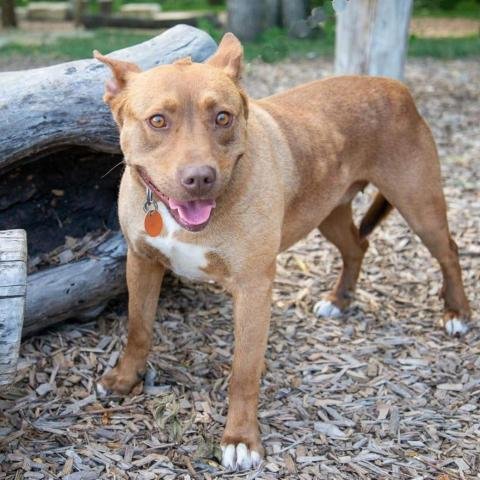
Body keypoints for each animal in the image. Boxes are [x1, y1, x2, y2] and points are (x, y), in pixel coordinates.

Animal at [93, 32, 468, 468]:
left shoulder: (254, 288)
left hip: (419, 206)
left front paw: (241, 438)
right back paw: (339, 300)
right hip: (328, 211)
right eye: (157, 121)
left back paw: (457, 313)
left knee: (449, 252)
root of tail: (394, 85)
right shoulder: (142, 262)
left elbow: (243, 372)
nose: (200, 178)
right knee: (358, 245)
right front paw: (125, 379)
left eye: (223, 117)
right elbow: (138, 328)